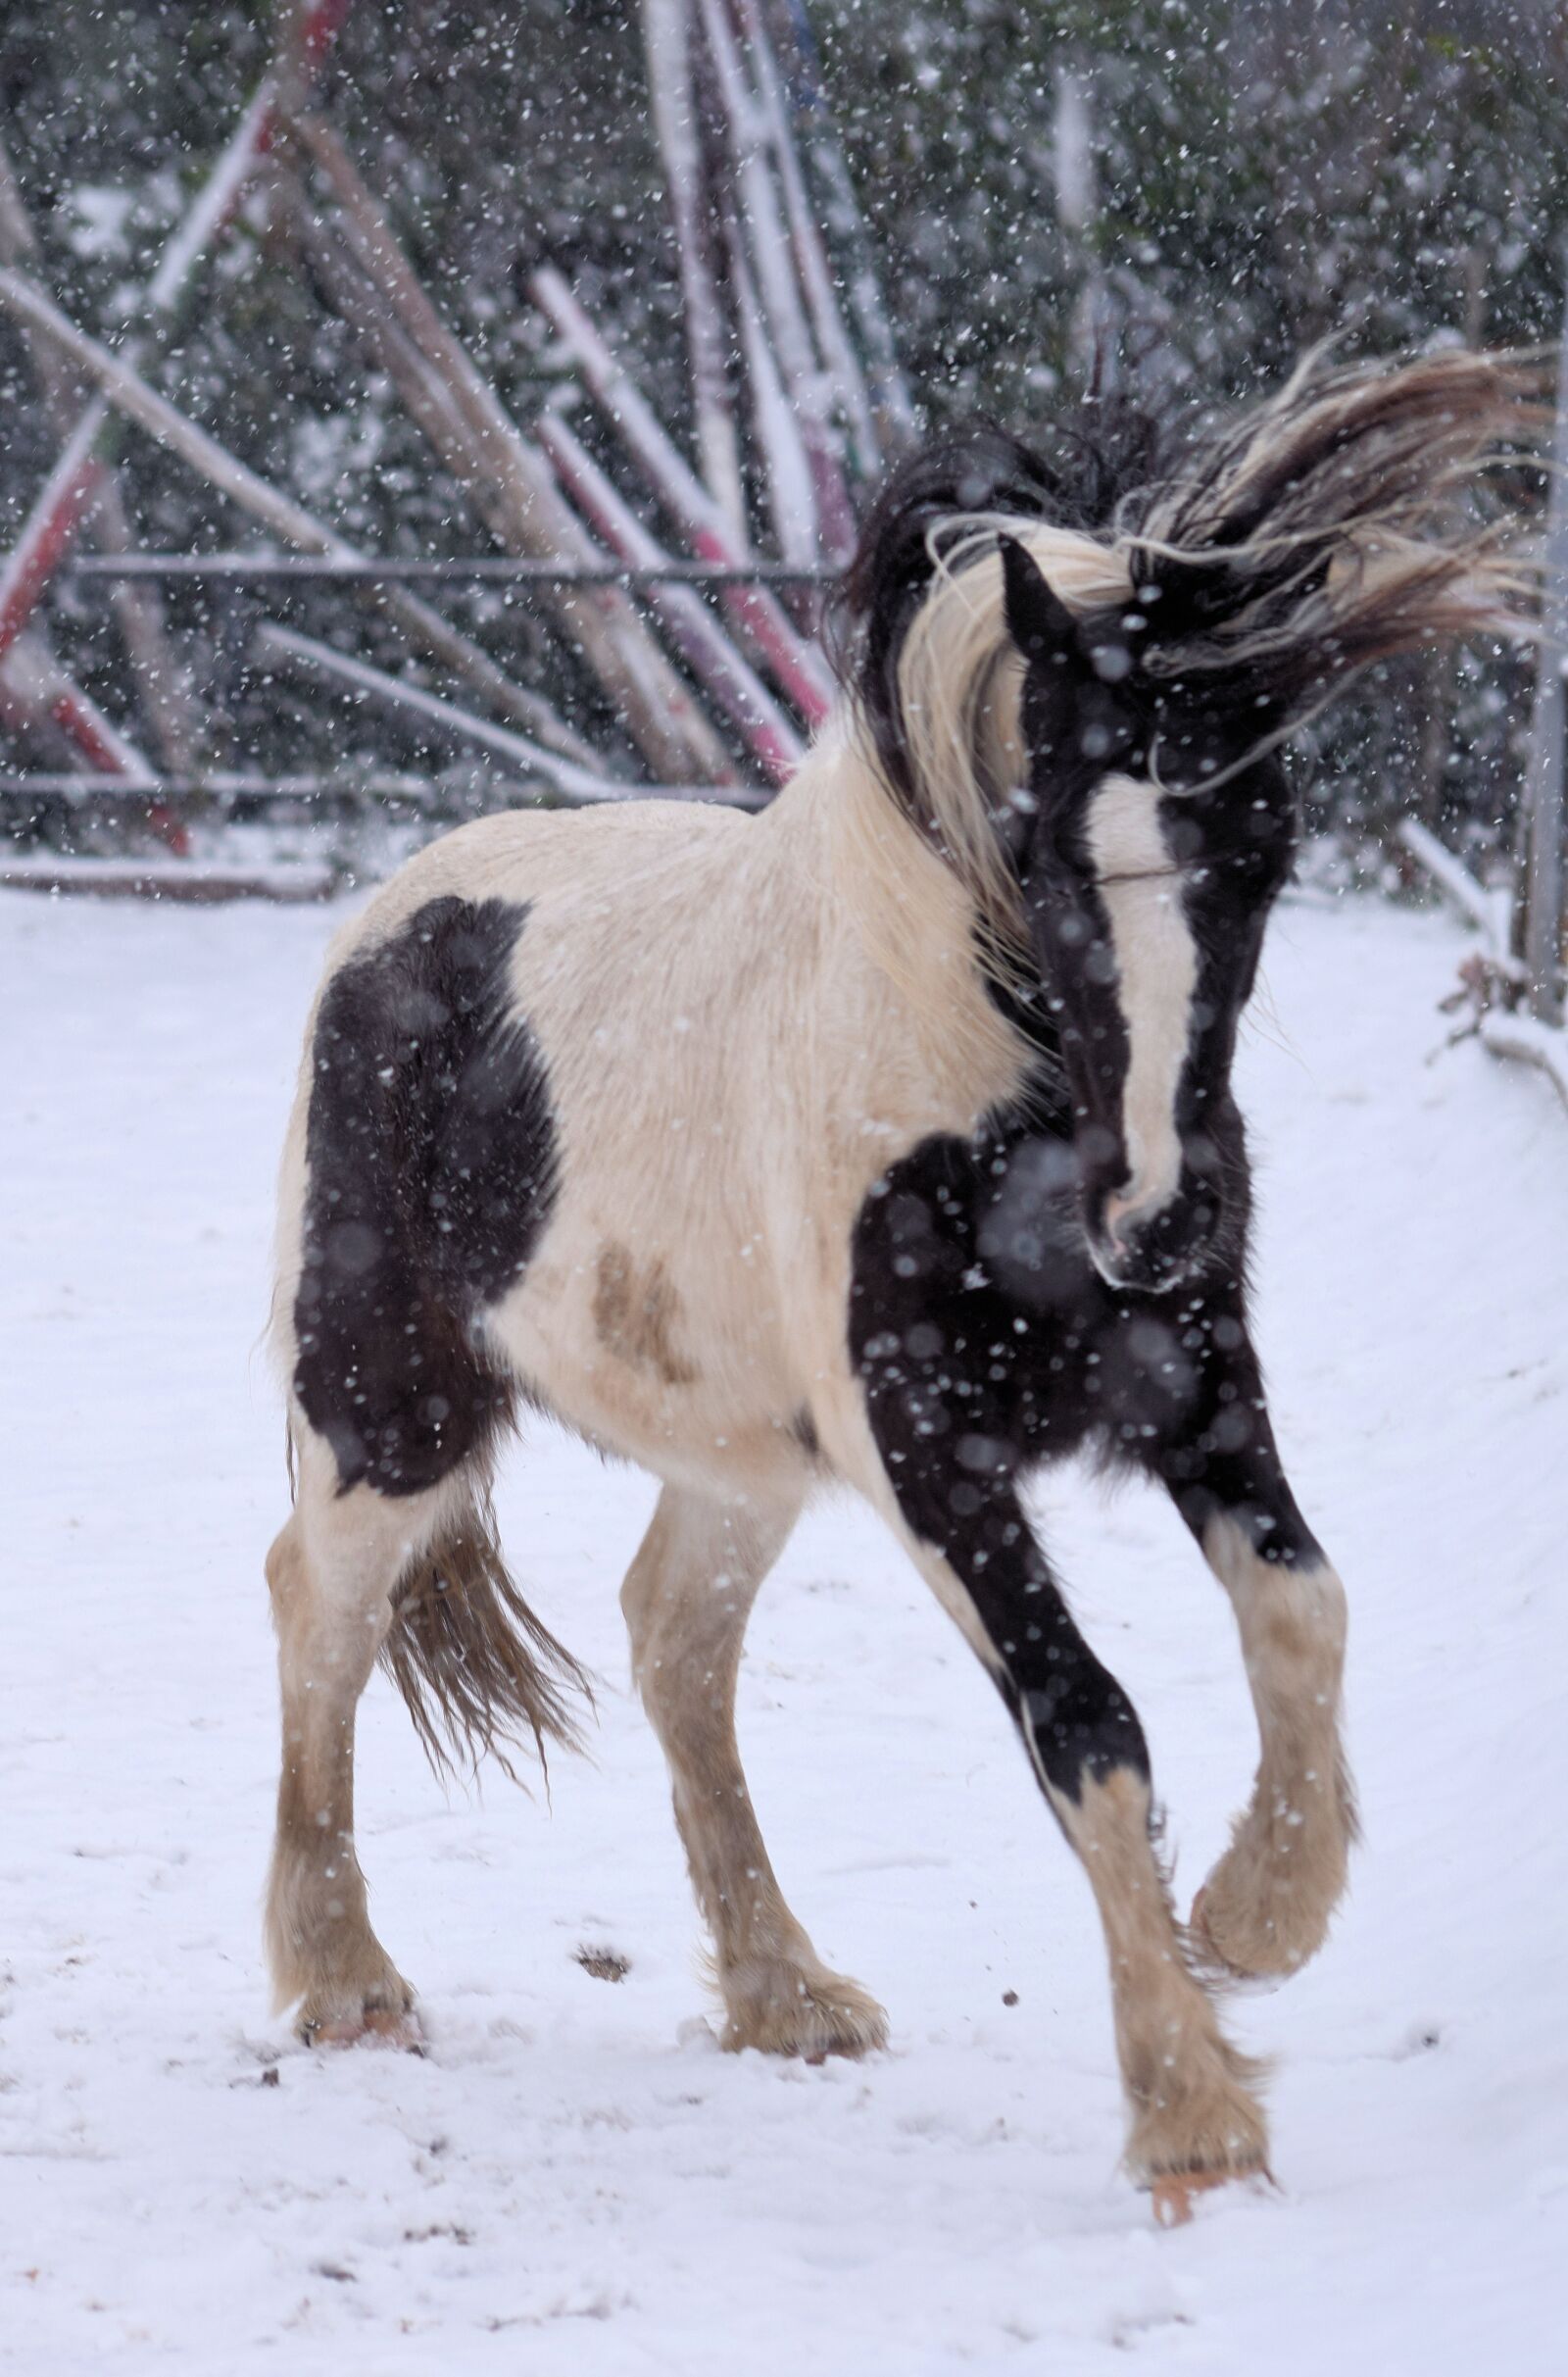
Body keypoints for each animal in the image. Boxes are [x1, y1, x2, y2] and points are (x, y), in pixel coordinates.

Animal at [263, 348, 1531, 2221]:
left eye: (1265, 846)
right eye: (1060, 853)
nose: (1157, 1218)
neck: (992, 1097)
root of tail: (393, 922)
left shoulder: (1194, 1383)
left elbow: (1305, 1605)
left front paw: (1257, 1915)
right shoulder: (931, 1452)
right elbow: (1089, 1724)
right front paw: (1190, 2110)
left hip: (734, 1452)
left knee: (671, 1638)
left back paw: (784, 1992)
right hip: (387, 1402)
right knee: (321, 1608)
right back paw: (343, 1975)